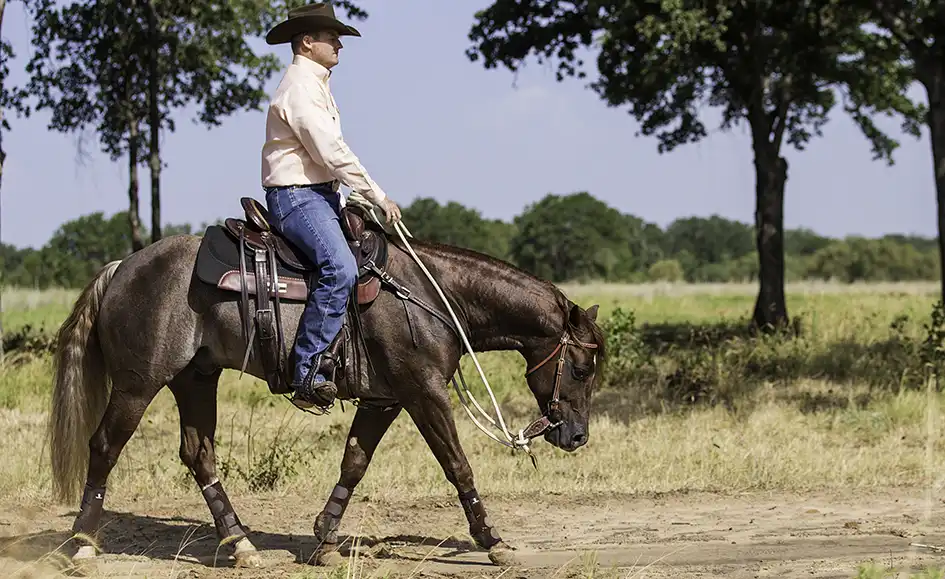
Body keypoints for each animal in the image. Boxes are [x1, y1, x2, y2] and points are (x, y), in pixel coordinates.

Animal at [48, 205, 606, 568]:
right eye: (582, 369)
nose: (577, 436)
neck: (430, 296)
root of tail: (121, 267)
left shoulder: (384, 399)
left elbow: (354, 462)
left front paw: (325, 540)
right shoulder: (424, 393)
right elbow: (457, 464)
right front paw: (492, 540)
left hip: (196, 378)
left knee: (198, 454)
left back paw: (242, 546)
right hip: (138, 385)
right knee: (105, 446)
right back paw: (83, 543)